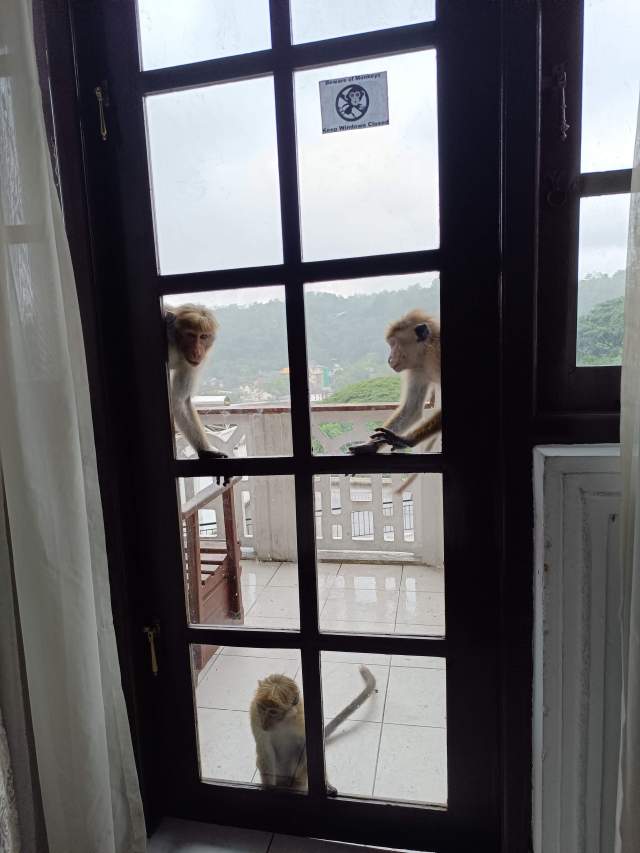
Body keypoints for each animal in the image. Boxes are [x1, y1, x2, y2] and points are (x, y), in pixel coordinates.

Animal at [166, 304, 227, 460]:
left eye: (204, 336)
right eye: (191, 335)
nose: (197, 352)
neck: (177, 347)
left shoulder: (191, 364)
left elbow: (180, 400)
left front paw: (205, 451)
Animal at [250, 665, 376, 794]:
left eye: (273, 712)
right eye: (261, 708)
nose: (264, 723)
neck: (282, 722)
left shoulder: (301, 720)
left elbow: (307, 748)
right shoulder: (255, 716)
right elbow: (265, 750)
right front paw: (268, 787)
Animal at [349, 309, 441, 455]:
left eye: (394, 344)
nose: (389, 359)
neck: (427, 353)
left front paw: (405, 440)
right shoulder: (417, 369)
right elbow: (411, 409)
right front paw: (371, 445)